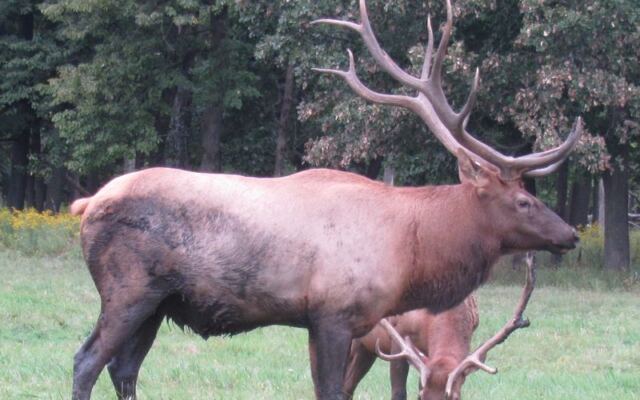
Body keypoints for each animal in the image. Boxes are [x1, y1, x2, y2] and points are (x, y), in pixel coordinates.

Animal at [343, 294, 479, 400]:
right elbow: (399, 392)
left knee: (349, 385)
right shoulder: (400, 335)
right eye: (422, 397)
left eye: (456, 397)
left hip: (365, 349)